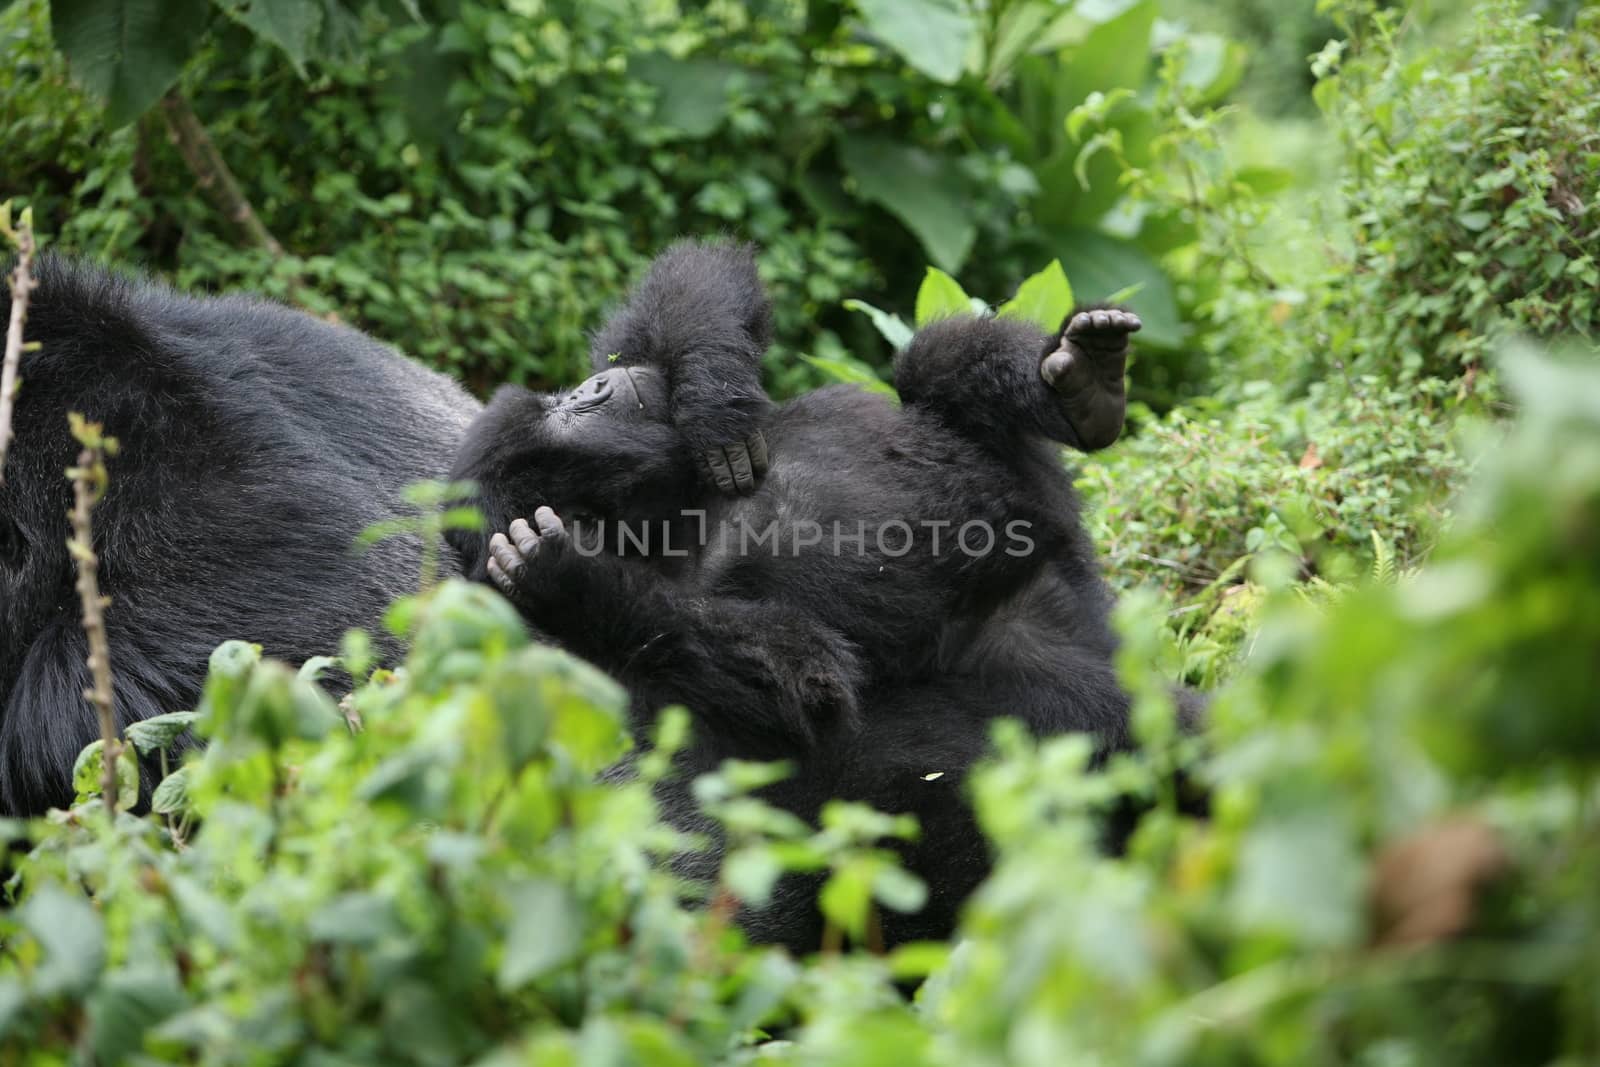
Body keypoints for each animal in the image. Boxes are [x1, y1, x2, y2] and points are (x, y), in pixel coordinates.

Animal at [451, 241, 1164, 953]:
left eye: (560, 399)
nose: (585, 388)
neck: (681, 506)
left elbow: (666, 319)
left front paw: (711, 394)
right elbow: (800, 677)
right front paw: (572, 579)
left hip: (1047, 512)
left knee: (929, 362)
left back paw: (1081, 385)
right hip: (1034, 660)